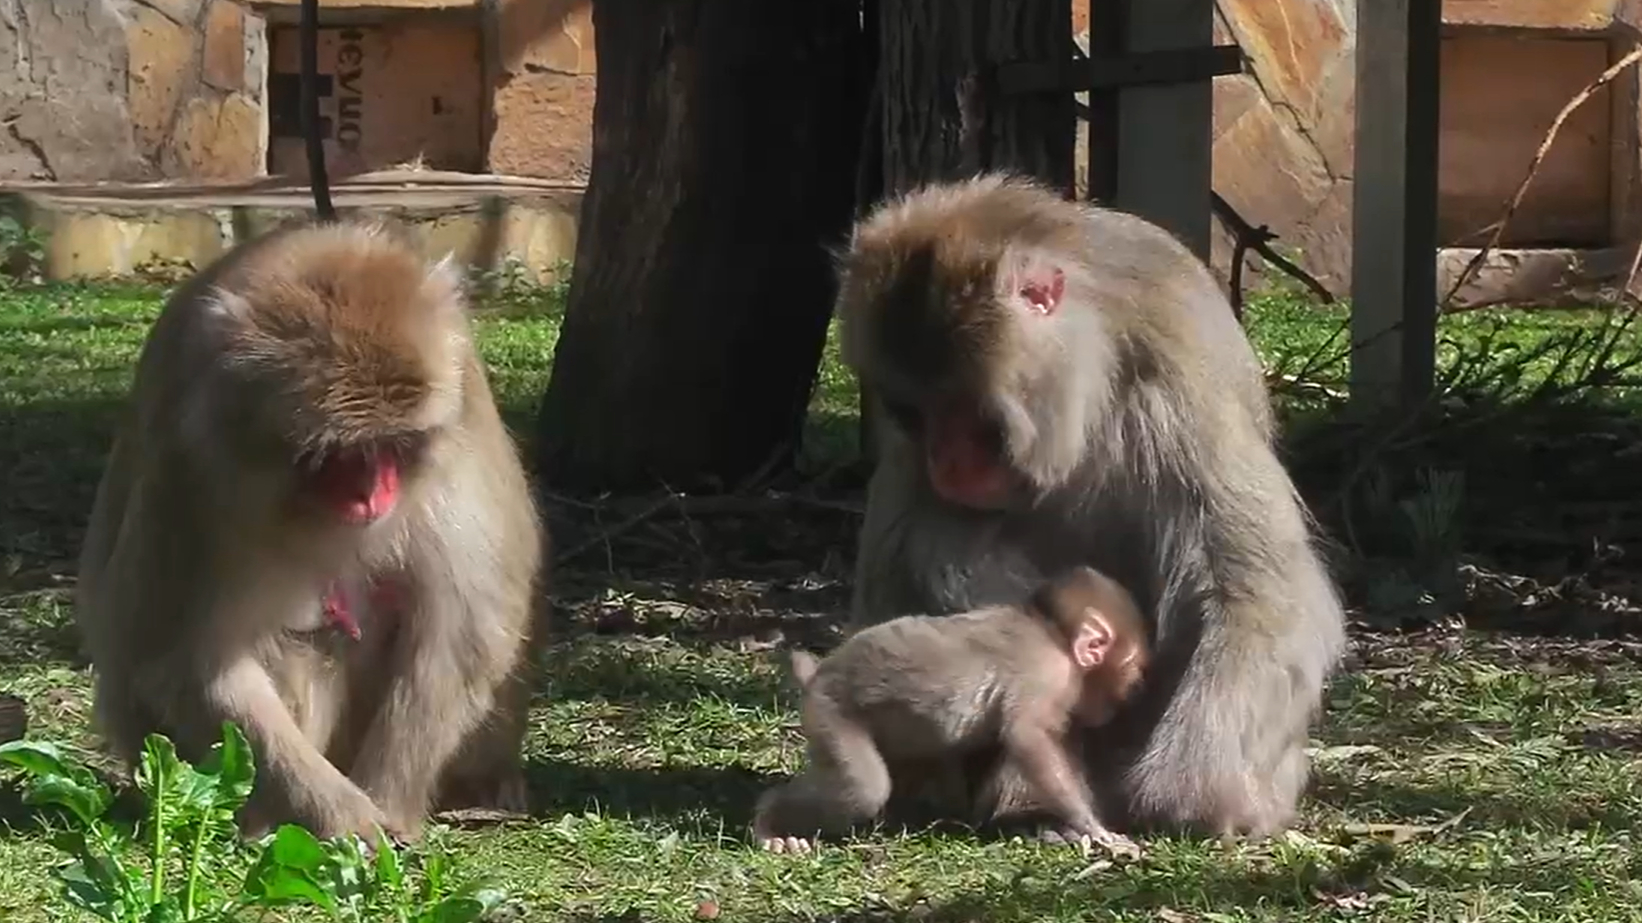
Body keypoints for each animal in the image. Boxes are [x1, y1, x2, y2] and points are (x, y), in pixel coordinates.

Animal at [752, 564, 1149, 854]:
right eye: (1133, 669)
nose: (1130, 691)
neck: (1054, 635)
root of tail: (818, 675)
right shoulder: (1048, 674)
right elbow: (1028, 738)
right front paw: (1092, 826)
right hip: (830, 713)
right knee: (865, 786)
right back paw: (769, 820)